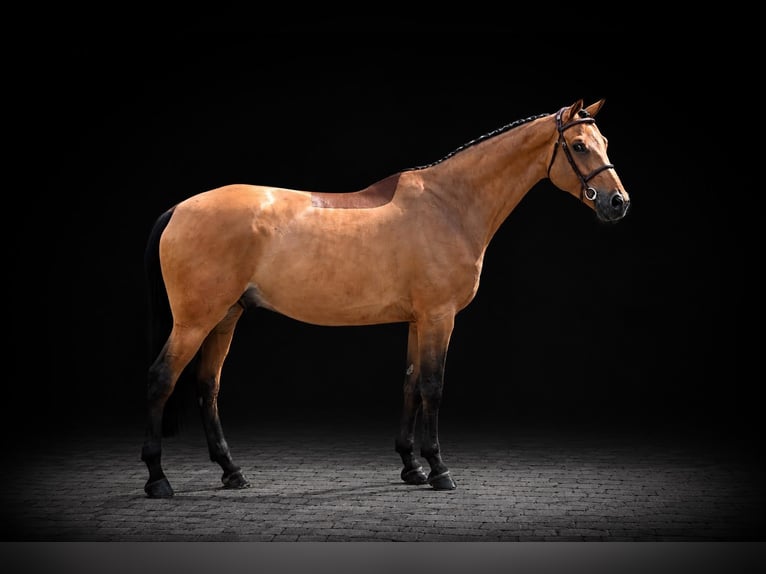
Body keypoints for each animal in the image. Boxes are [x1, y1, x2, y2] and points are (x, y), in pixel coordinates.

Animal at [141, 98, 630, 498]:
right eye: (580, 146)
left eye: (604, 141)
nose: (618, 203)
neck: (449, 205)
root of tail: (178, 209)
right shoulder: (439, 317)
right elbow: (433, 386)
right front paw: (439, 470)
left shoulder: (417, 320)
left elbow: (411, 383)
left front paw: (411, 467)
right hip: (194, 322)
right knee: (161, 379)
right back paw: (158, 479)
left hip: (226, 317)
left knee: (208, 386)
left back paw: (232, 472)